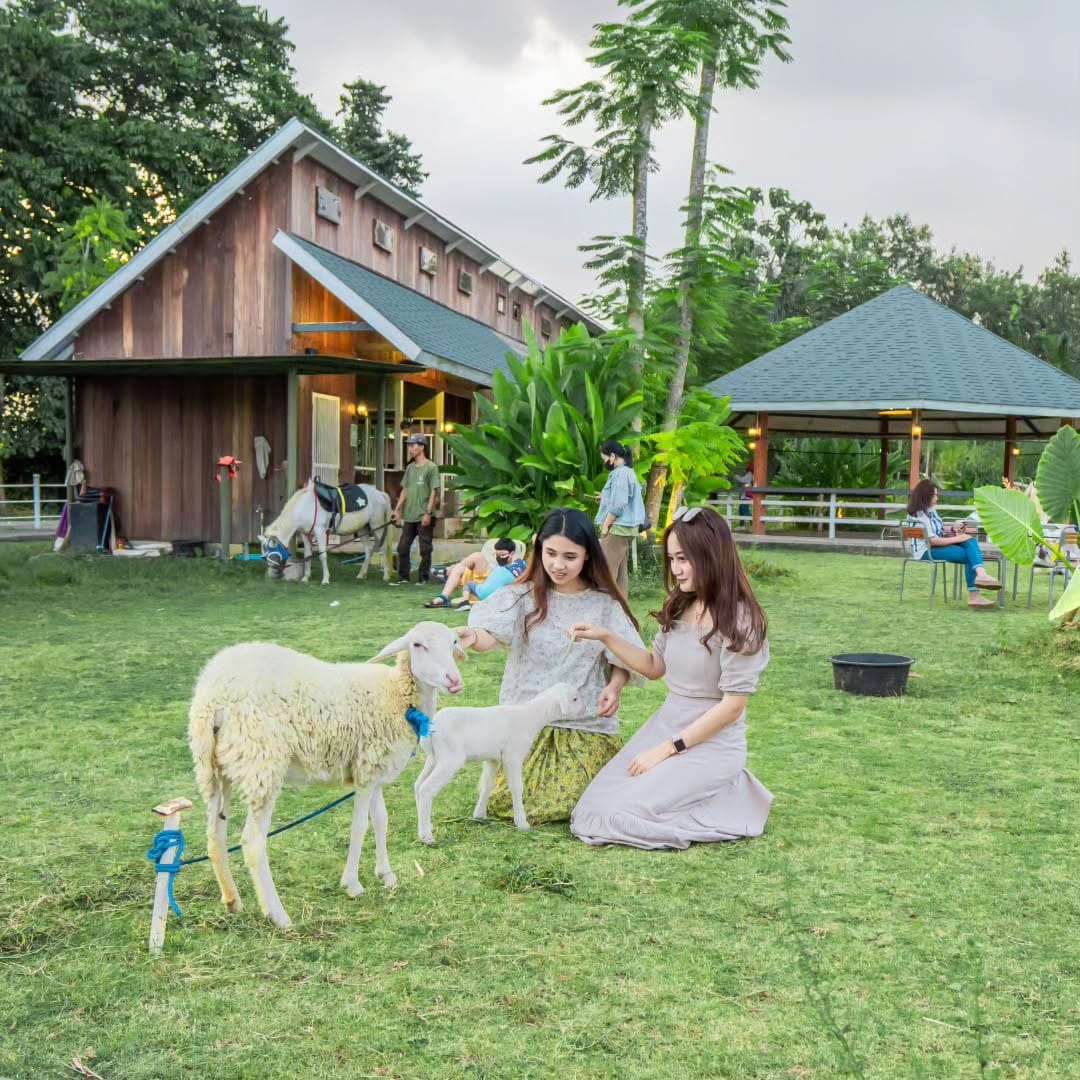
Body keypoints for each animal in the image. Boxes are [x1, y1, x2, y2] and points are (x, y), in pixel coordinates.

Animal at [186, 622, 464, 924]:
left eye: (453, 643)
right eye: (417, 645)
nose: (454, 679)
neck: (398, 694)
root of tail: (214, 695)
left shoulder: (373, 769)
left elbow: (381, 820)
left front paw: (386, 875)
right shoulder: (367, 771)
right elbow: (360, 826)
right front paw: (352, 885)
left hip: (214, 767)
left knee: (215, 837)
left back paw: (232, 900)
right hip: (261, 762)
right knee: (252, 842)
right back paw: (277, 914)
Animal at [259, 481, 395, 583]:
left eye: (273, 552)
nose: (271, 574)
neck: (303, 507)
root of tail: (379, 493)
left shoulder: (320, 532)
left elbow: (322, 555)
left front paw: (325, 579)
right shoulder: (305, 534)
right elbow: (307, 555)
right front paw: (305, 578)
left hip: (377, 525)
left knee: (383, 547)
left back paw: (386, 576)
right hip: (362, 529)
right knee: (368, 549)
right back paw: (361, 575)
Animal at [410, 682, 583, 842]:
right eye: (575, 698)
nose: (585, 710)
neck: (531, 716)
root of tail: (430, 727)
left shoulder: (492, 759)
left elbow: (487, 785)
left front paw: (479, 815)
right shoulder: (512, 756)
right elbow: (517, 788)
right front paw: (522, 823)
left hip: (434, 758)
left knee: (418, 785)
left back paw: (423, 828)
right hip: (450, 758)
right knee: (426, 789)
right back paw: (427, 836)